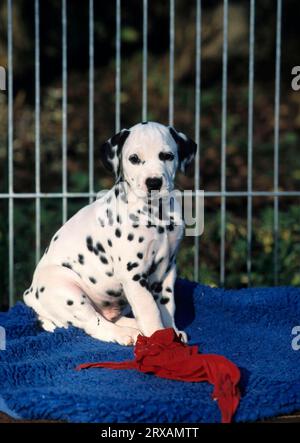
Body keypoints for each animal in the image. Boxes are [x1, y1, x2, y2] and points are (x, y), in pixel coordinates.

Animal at [22, 122, 197, 346]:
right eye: (134, 159)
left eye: (167, 156)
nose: (153, 183)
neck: (155, 214)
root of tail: (31, 295)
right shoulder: (133, 274)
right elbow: (149, 309)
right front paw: (157, 337)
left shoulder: (166, 270)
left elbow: (166, 306)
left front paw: (171, 332)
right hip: (67, 290)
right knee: (95, 324)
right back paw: (126, 334)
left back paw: (133, 327)